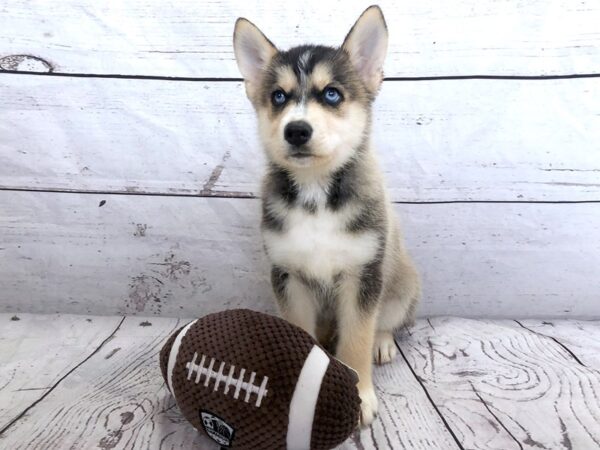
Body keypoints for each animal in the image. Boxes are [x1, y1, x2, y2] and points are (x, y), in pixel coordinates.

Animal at [232, 5, 420, 424]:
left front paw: (360, 397)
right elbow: (299, 337)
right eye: (279, 97)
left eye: (331, 94)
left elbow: (356, 340)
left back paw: (383, 343)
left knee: (386, 322)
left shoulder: (361, 277)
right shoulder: (289, 277)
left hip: (401, 283)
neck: (315, 193)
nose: (296, 131)